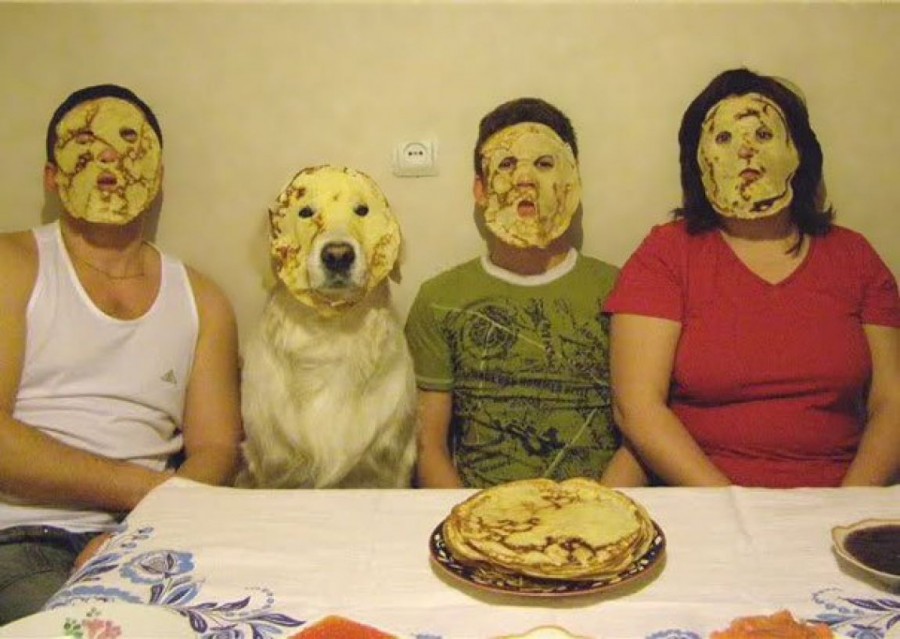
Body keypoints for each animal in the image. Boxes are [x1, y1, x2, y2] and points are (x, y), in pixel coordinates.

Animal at [237, 165, 417, 488]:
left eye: (362, 210)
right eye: (305, 212)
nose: (337, 255)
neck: (330, 332)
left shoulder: (391, 466)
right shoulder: (275, 471)